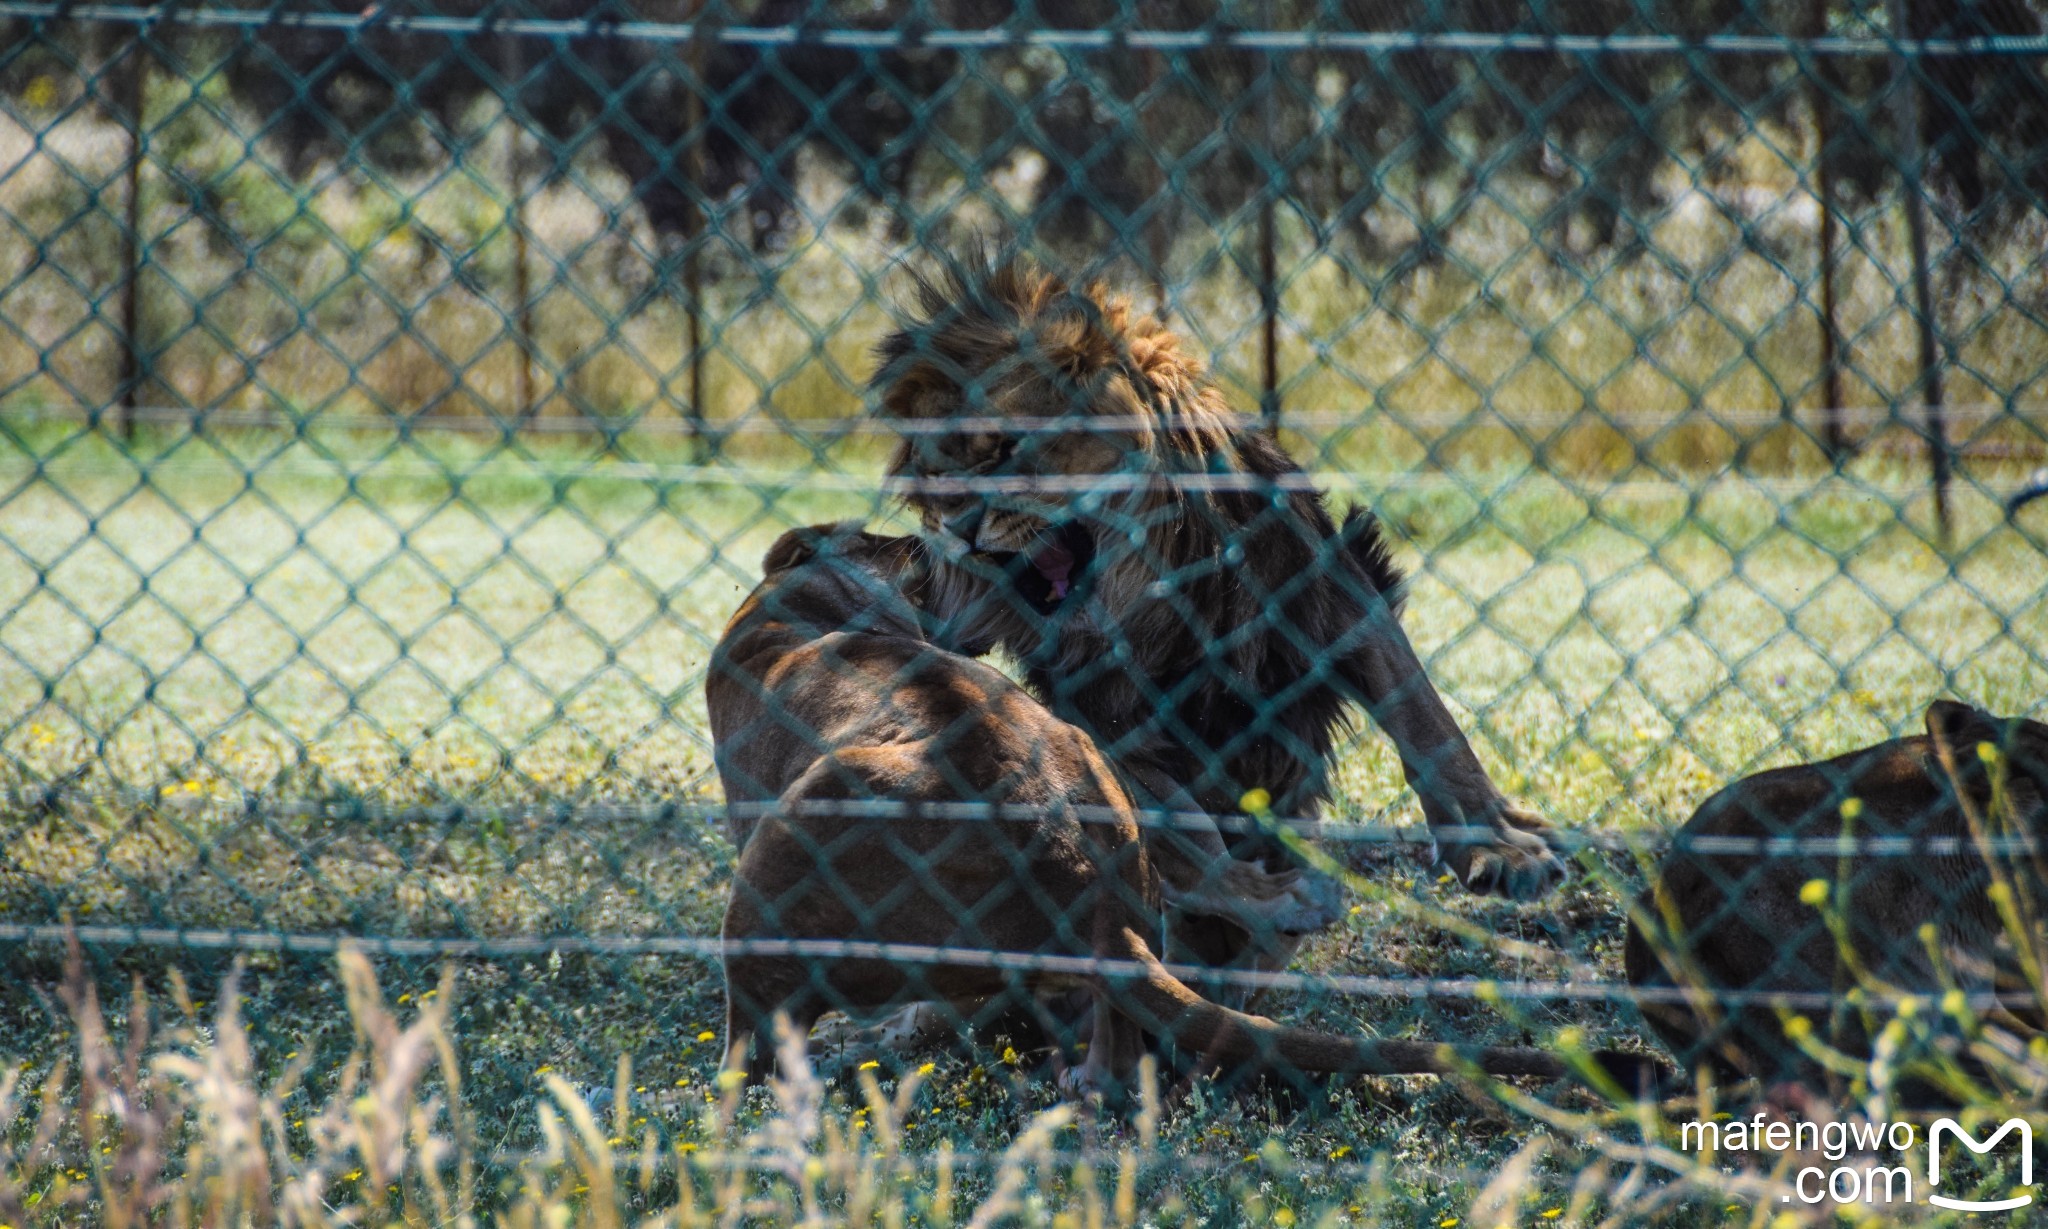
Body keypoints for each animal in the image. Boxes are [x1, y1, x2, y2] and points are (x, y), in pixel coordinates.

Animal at [872, 257, 1556, 901]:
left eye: (1007, 449)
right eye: (932, 473)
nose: (955, 527)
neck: (1151, 596)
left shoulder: (1328, 589)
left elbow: (1427, 722)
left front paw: (1501, 848)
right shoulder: (1106, 711)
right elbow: (1175, 809)